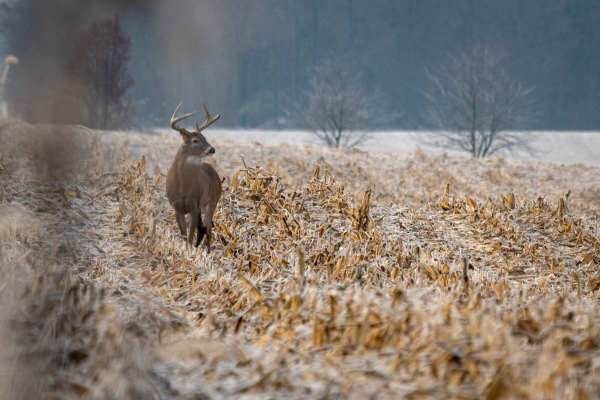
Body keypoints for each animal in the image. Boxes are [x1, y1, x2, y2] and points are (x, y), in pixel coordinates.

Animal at [165, 103, 221, 253]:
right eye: (195, 140)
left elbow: (190, 235)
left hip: (211, 202)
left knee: (208, 230)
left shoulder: (194, 205)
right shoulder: (176, 206)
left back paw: (208, 252)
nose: (212, 149)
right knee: (202, 229)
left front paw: (189, 252)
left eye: (205, 138)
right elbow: (184, 235)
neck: (183, 189)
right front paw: (185, 251)